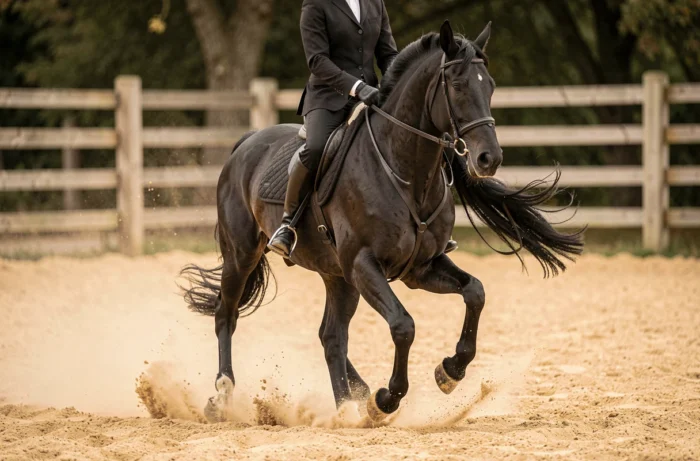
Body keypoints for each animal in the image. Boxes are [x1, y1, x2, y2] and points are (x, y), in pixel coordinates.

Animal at [181, 20, 584, 422]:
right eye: (457, 85)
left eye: (491, 86)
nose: (489, 159)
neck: (405, 171)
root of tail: (247, 143)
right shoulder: (364, 263)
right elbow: (403, 325)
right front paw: (388, 397)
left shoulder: (420, 268)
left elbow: (475, 292)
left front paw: (450, 371)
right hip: (244, 255)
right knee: (227, 315)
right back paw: (223, 396)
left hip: (336, 275)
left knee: (331, 336)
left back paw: (348, 405)